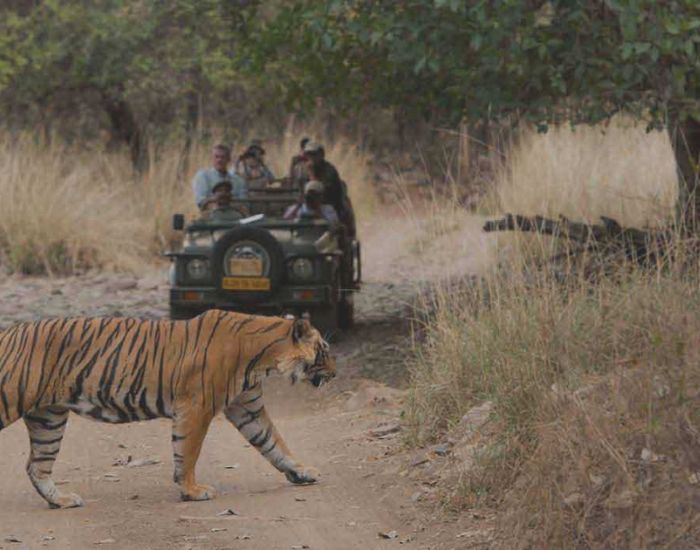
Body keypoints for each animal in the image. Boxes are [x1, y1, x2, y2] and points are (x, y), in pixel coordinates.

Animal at [0, 312, 336, 512]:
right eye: (325, 350)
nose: (335, 373)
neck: (261, 357)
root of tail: (8, 332)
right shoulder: (196, 406)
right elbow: (188, 452)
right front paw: (192, 491)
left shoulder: (246, 407)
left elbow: (274, 442)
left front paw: (302, 472)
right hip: (12, 399)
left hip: (48, 418)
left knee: (36, 466)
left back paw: (62, 500)